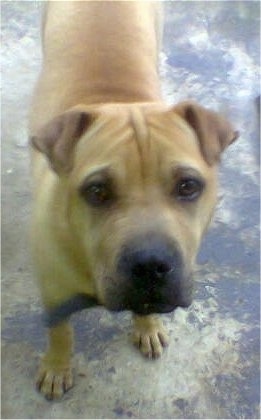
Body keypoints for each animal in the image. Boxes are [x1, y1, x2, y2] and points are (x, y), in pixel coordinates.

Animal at [29, 0, 238, 400]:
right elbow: (60, 332)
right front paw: (57, 366)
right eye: (97, 191)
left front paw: (147, 326)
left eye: (188, 186)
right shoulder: (53, 290)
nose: (151, 265)